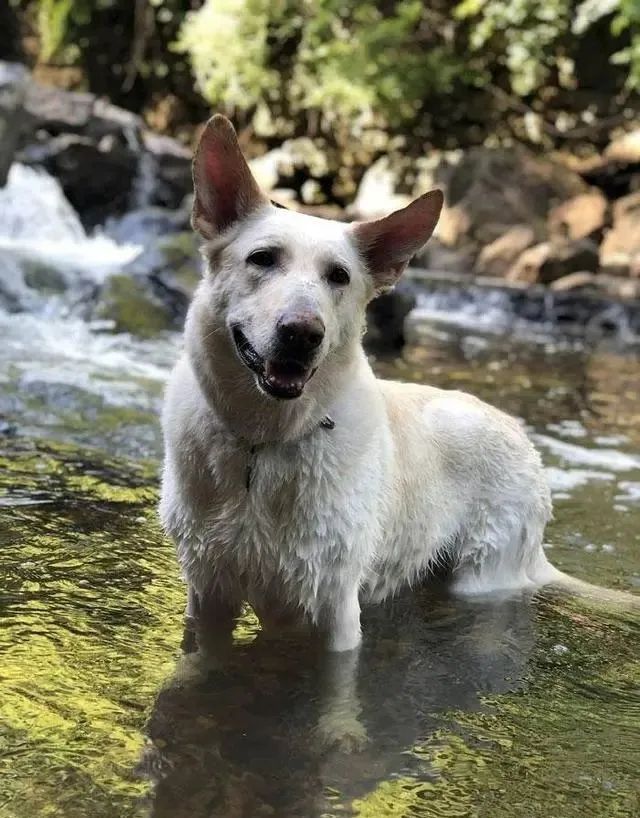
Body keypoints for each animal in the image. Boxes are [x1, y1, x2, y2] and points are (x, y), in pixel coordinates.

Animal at [160, 115, 580, 652]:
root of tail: (520, 434)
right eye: (262, 258)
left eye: (338, 276)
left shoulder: (333, 609)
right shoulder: (208, 594)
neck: (263, 441)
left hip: (482, 573)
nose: (303, 333)